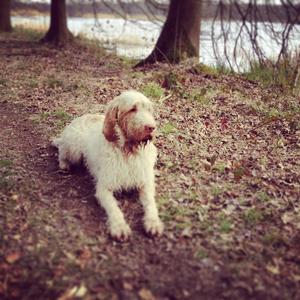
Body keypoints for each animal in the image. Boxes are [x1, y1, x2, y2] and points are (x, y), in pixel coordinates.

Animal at [51, 89, 164, 241]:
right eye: (132, 109)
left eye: (149, 110)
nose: (152, 128)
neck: (128, 151)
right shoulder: (104, 188)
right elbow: (114, 208)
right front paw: (119, 226)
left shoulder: (145, 183)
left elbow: (150, 203)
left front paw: (153, 222)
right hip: (73, 148)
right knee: (61, 150)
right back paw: (64, 164)